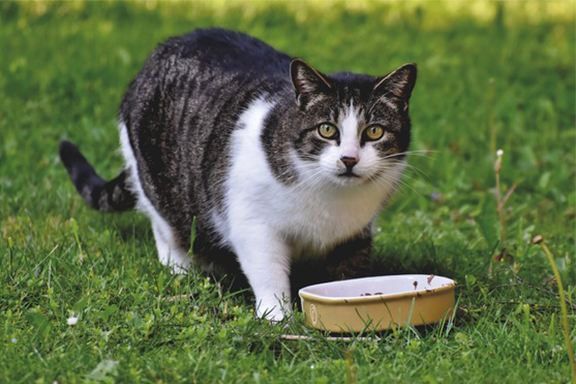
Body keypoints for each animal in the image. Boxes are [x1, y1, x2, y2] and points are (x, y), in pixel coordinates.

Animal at [60, 27, 416, 320]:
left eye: (375, 131)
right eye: (327, 129)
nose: (349, 159)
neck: (331, 199)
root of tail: (157, 54)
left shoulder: (355, 234)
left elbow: (348, 274)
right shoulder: (253, 223)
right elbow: (268, 272)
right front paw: (277, 316)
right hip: (155, 180)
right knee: (165, 228)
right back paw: (183, 269)